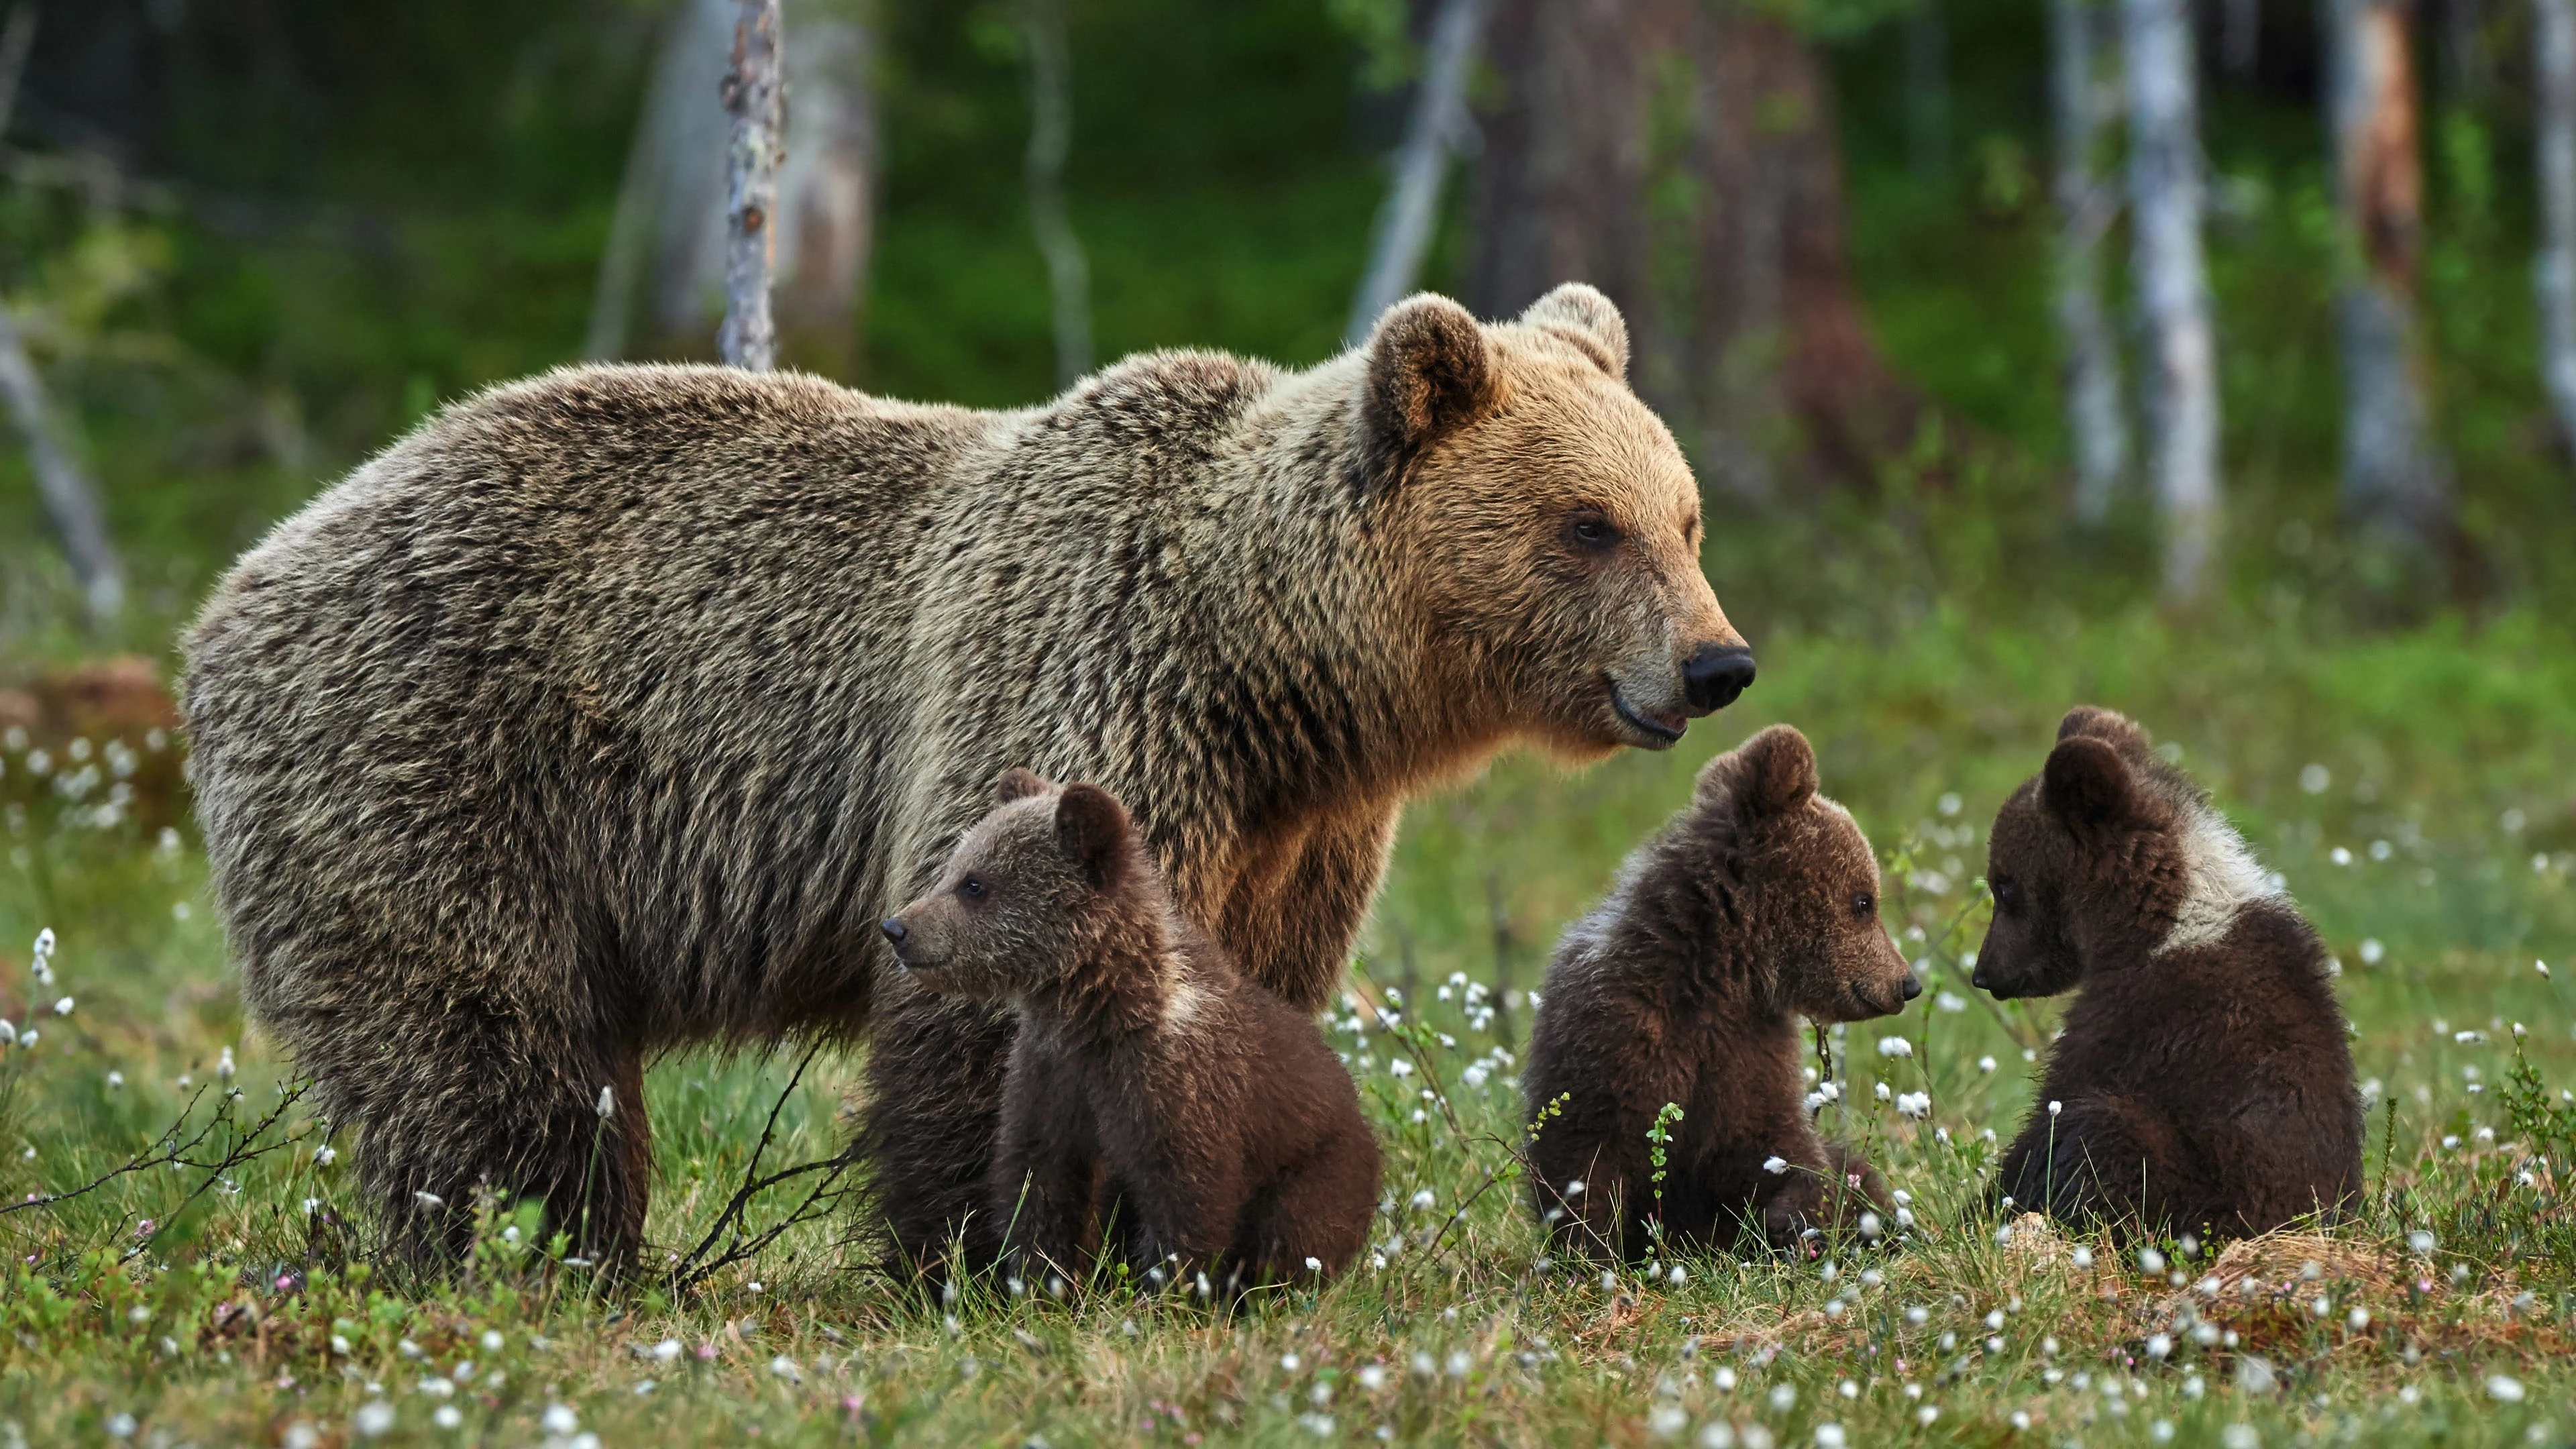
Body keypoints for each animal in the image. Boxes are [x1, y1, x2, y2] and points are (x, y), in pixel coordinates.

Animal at [881, 768, 1379, 1294]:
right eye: (954, 868)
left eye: (974, 884)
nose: (896, 928)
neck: (1098, 1009)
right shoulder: (1049, 1076)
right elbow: (1039, 1185)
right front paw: (1041, 1285)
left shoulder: (1176, 1087)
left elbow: (1186, 1201)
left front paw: (1165, 1291)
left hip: (1318, 1167)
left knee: (1292, 1235)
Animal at [1521, 724, 1919, 1262]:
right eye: (1864, 902)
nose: (1907, 983)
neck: (1718, 975)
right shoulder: (1615, 1033)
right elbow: (1583, 1159)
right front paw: (1587, 1257)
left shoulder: (1749, 1053)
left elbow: (1782, 1149)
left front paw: (1797, 1218)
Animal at [1973, 706, 2364, 1239]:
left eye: (2005, 885)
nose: (1985, 973)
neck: (2156, 923)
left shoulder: (2142, 1021)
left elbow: (2055, 1106)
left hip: (2204, 1193)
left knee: (2103, 1128)